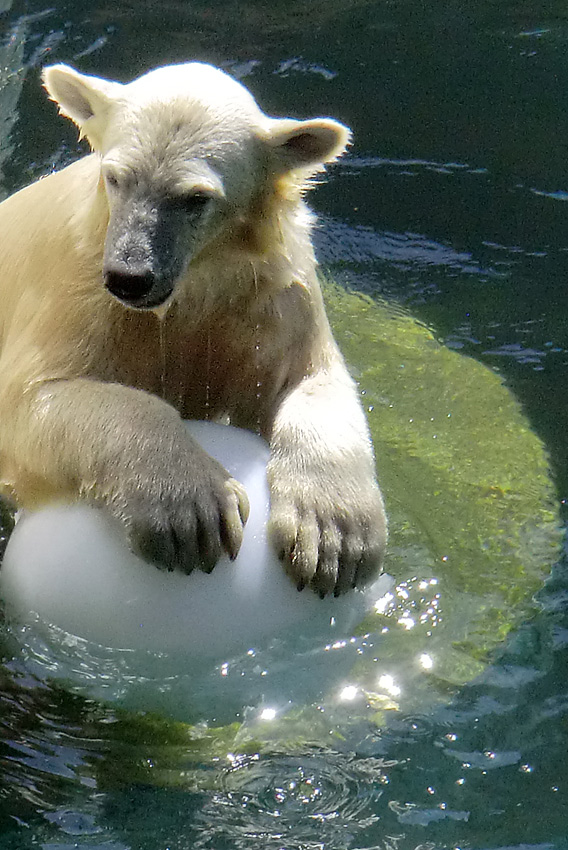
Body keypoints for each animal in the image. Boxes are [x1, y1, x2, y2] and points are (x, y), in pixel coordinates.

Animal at [0, 61, 386, 596]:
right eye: (115, 177)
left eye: (195, 198)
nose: (129, 276)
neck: (194, 286)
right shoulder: (76, 287)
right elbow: (32, 398)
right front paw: (189, 512)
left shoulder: (269, 294)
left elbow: (311, 377)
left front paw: (335, 536)